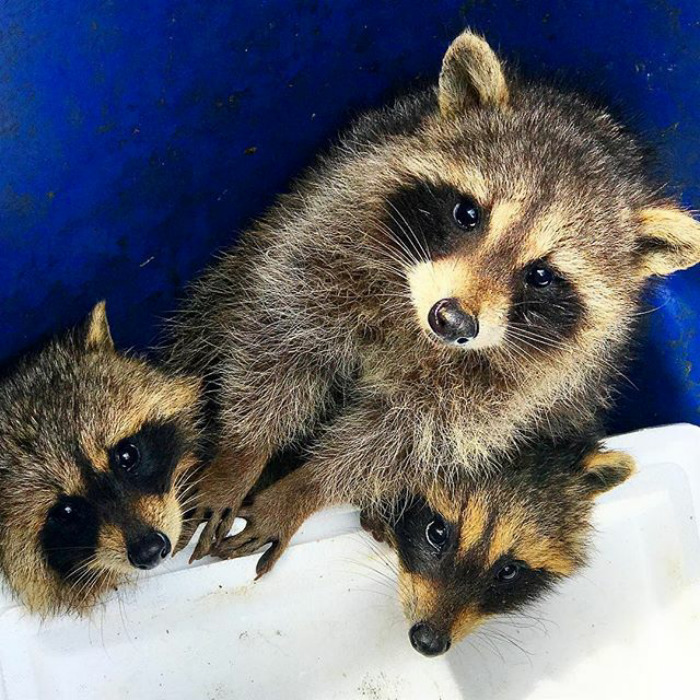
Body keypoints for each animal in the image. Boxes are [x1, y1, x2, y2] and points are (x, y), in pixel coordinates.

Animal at [167, 31, 700, 561]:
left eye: (541, 275)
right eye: (468, 214)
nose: (454, 321)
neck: (413, 326)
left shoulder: (525, 384)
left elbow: (412, 437)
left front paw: (308, 485)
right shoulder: (333, 232)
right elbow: (282, 341)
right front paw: (242, 452)